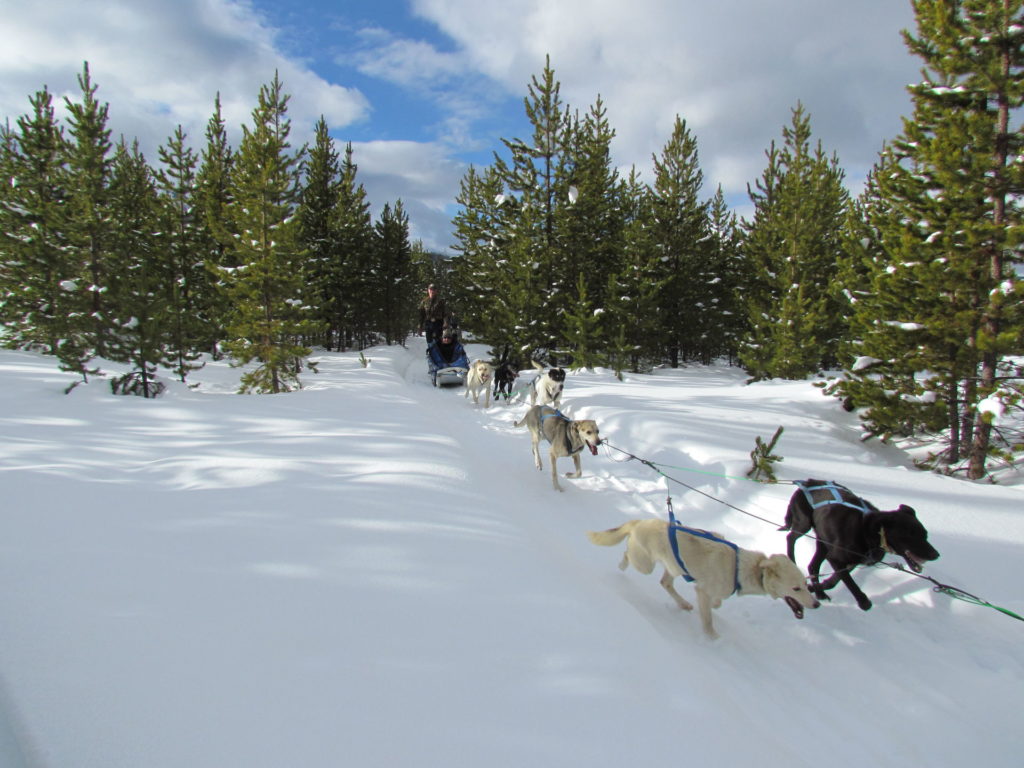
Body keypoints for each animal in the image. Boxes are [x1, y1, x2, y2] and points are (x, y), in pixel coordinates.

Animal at [589, 520, 819, 638]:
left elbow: (717, 603)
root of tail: (640, 522)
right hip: (645, 564)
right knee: (628, 554)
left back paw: (683, 604)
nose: (816, 604)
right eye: (796, 588)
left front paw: (713, 608)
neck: (739, 567)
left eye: (806, 585)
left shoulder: (711, 591)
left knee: (665, 583)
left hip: (674, 566)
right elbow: (708, 619)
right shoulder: (703, 591)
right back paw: (622, 564)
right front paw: (712, 637)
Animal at [778, 481, 937, 614]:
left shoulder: (852, 562)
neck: (868, 532)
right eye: (910, 535)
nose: (936, 555)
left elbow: (834, 581)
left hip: (823, 541)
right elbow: (852, 585)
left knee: (813, 566)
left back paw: (819, 592)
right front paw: (863, 601)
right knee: (790, 538)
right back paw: (791, 559)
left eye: (925, 535)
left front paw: (816, 588)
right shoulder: (835, 559)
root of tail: (806, 482)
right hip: (804, 524)